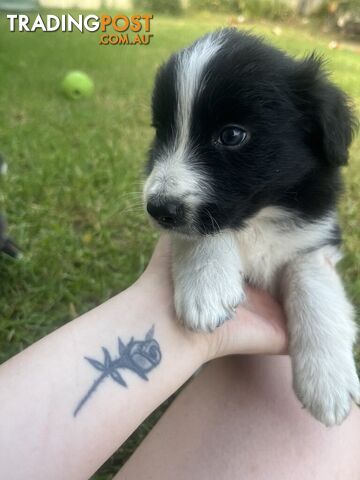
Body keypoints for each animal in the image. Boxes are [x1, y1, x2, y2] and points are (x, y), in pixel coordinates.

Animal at [143, 29, 360, 428]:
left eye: (231, 135)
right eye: (160, 131)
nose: (159, 208)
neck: (259, 216)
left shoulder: (315, 238)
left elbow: (314, 286)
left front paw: (328, 381)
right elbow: (206, 231)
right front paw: (207, 286)